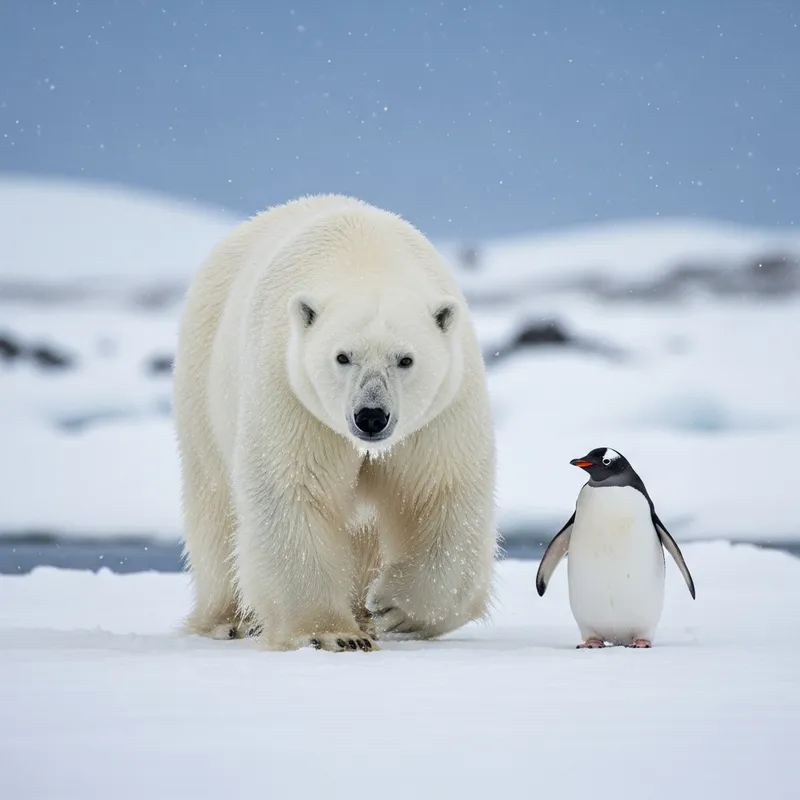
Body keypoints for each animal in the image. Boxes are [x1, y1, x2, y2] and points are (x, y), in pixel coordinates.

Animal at [172, 194, 497, 652]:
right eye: (343, 356)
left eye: (405, 359)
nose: (371, 416)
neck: (364, 255)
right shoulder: (291, 393)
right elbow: (292, 490)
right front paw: (332, 633)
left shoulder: (441, 409)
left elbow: (440, 493)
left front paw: (392, 607)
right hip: (202, 379)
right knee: (215, 503)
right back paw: (227, 620)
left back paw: (362, 610)